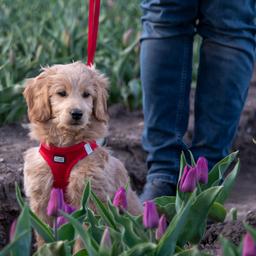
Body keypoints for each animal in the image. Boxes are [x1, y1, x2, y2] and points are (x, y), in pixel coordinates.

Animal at [23, 61, 143, 246]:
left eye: (86, 94)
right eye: (61, 93)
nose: (77, 113)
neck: (64, 150)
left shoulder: (89, 200)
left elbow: (85, 236)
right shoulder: (41, 198)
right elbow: (44, 236)